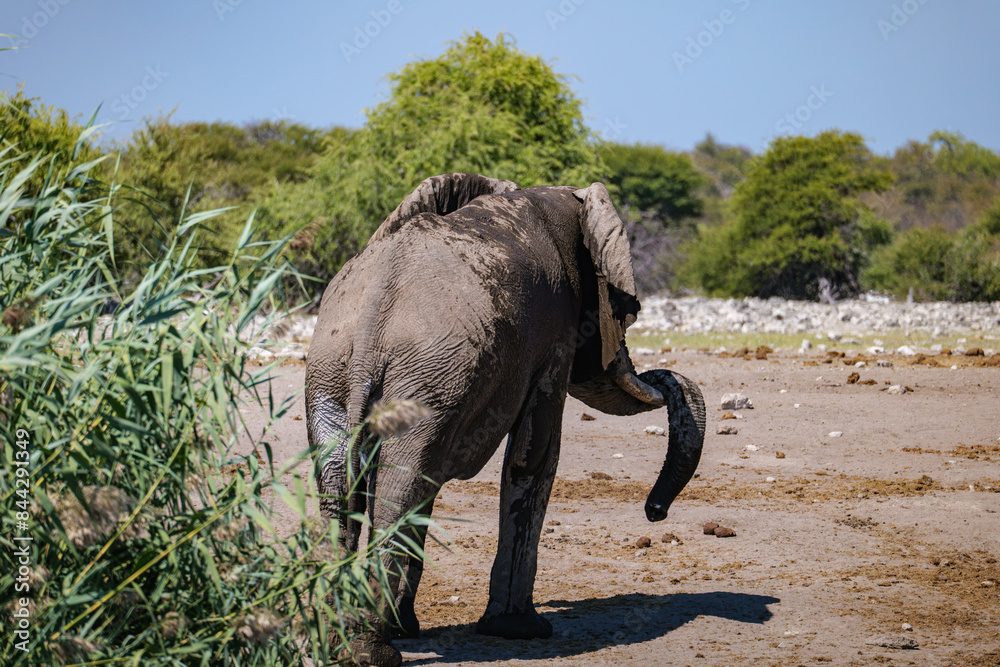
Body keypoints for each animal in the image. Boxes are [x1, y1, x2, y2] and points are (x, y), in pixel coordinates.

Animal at [305, 173, 706, 666]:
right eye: (623, 314)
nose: (655, 513)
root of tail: (369, 324)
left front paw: (412, 628)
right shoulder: (557, 337)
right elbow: (536, 455)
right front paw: (523, 632)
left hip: (342, 370)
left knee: (346, 490)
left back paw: (342, 643)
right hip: (423, 375)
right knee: (397, 492)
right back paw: (371, 652)